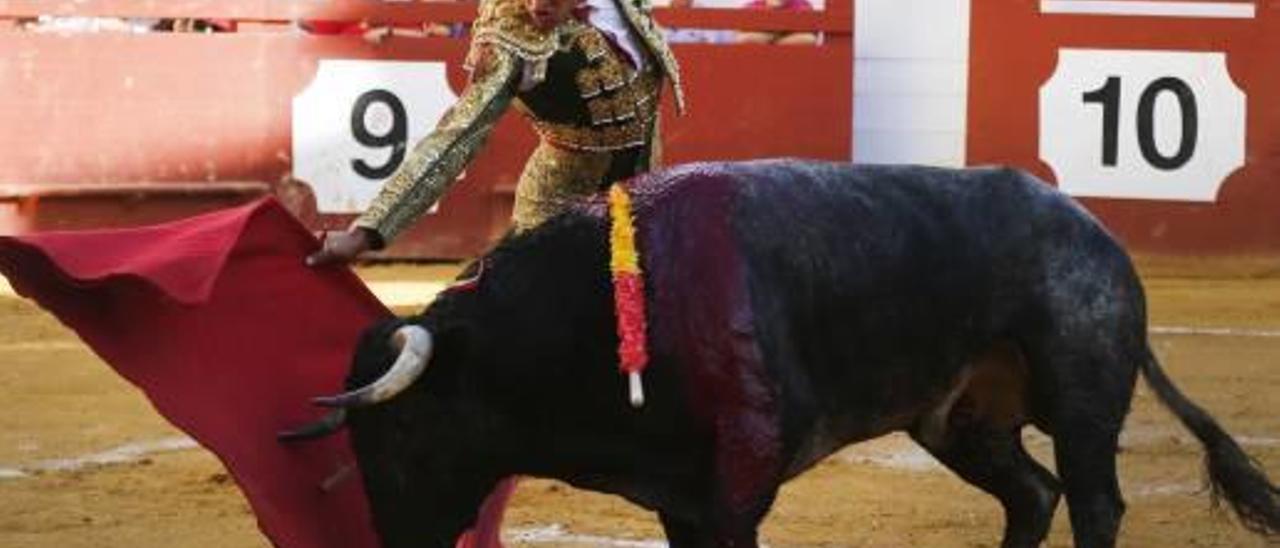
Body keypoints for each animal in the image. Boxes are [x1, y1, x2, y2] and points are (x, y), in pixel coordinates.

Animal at [282, 160, 1280, 545]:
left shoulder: (738, 488)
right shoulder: (682, 497)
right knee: (1034, 492)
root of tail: (1097, 233)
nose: (394, 541)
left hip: (1081, 394)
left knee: (1096, 501)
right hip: (958, 419)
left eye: (402, 434)